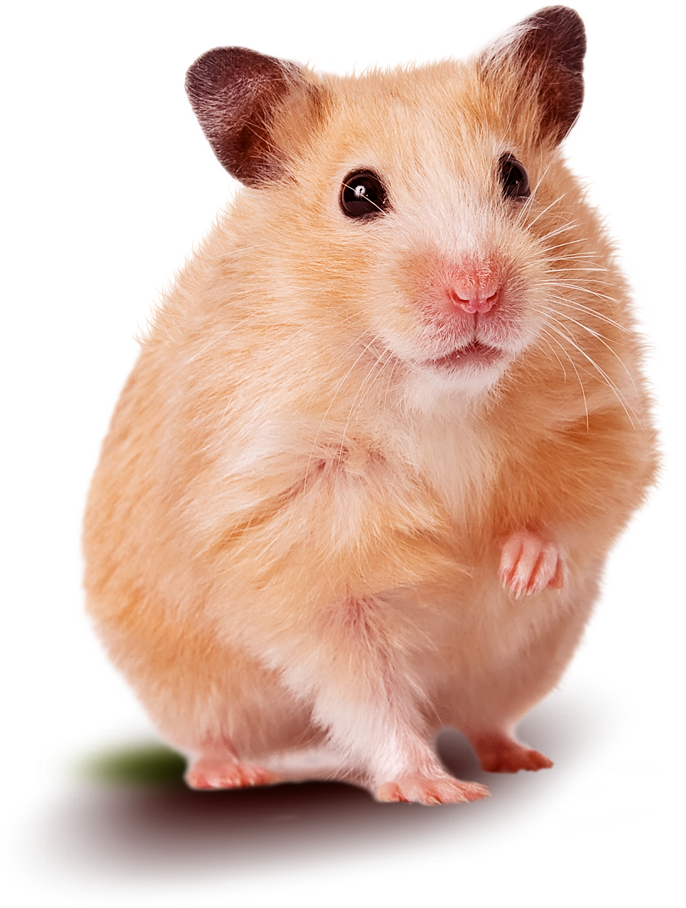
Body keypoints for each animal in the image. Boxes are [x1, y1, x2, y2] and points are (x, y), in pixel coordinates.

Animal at [74, 5, 663, 806]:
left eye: (515, 175)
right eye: (357, 194)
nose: (479, 291)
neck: (440, 398)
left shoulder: (601, 419)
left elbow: (569, 512)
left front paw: (517, 570)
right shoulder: (303, 545)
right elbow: (369, 686)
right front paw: (437, 791)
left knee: (485, 718)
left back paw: (519, 759)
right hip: (180, 682)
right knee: (214, 735)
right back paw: (233, 775)